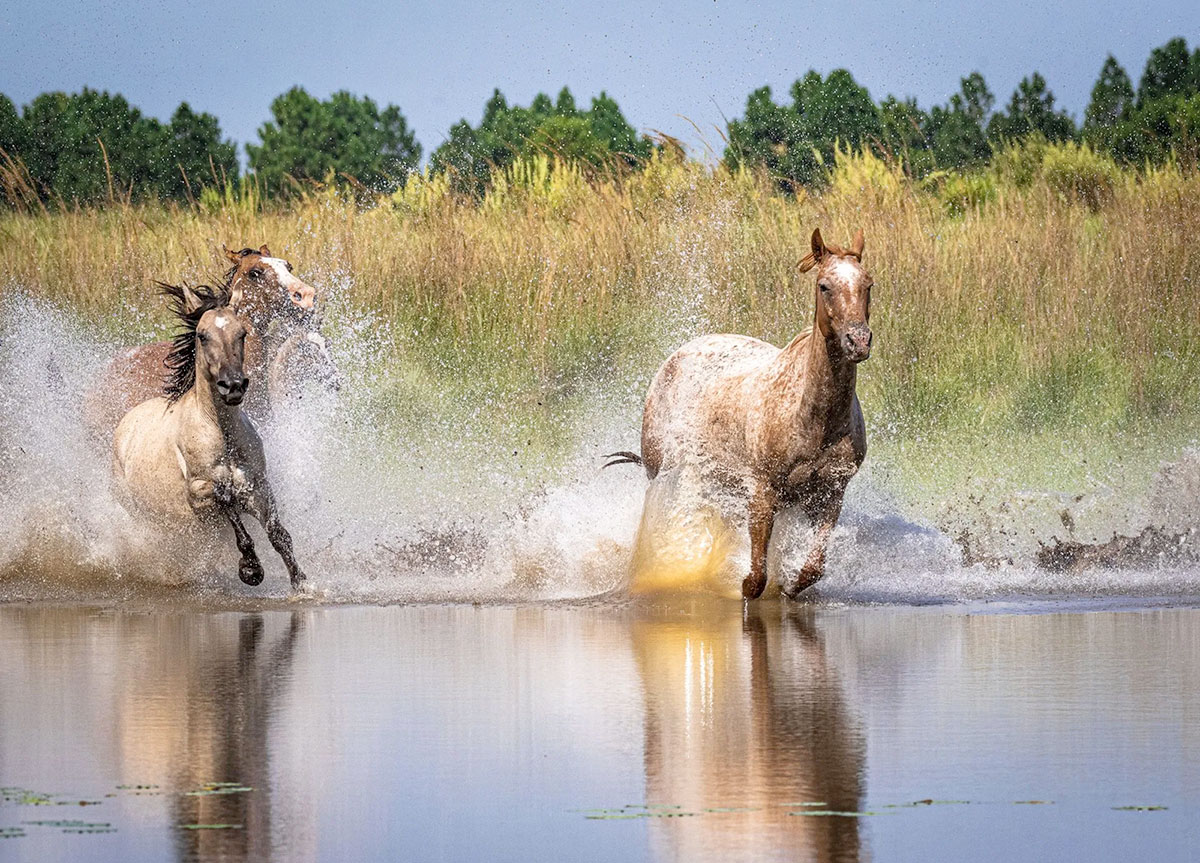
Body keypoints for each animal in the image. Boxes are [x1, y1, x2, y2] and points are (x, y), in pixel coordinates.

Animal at [112, 286, 307, 590]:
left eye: (242, 333)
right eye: (202, 336)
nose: (233, 385)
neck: (223, 436)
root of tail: (126, 422)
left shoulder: (257, 488)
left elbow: (278, 534)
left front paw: (302, 584)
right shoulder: (198, 495)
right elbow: (225, 498)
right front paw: (250, 569)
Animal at [609, 225, 873, 597]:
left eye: (868, 283)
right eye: (825, 285)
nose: (858, 341)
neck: (815, 420)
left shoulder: (830, 494)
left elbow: (812, 568)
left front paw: (789, 587)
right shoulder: (762, 490)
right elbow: (756, 578)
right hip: (664, 476)